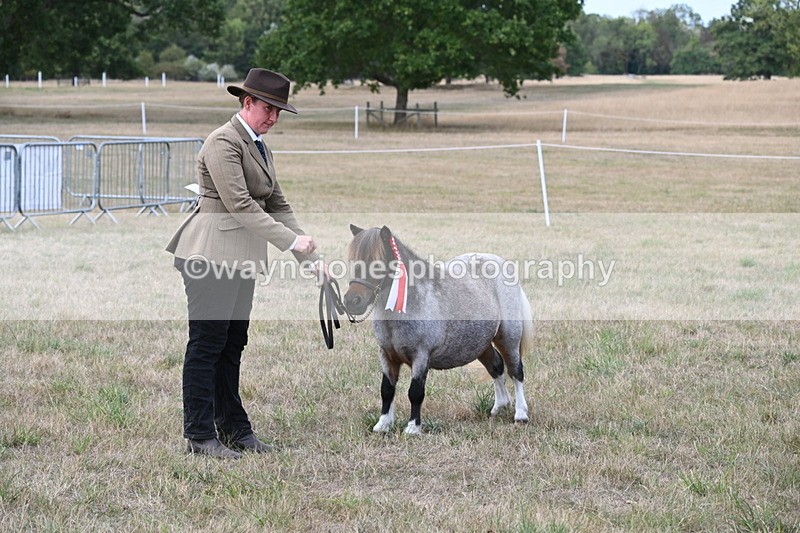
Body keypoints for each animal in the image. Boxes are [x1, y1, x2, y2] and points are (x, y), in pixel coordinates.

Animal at [343, 224, 534, 435]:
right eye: (353, 262)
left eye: (377, 263)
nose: (352, 301)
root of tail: (501, 262)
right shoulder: (387, 355)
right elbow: (387, 390)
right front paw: (383, 424)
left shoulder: (421, 355)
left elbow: (415, 392)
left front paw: (413, 428)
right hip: (481, 344)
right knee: (496, 366)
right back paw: (499, 407)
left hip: (509, 338)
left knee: (516, 370)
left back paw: (520, 414)